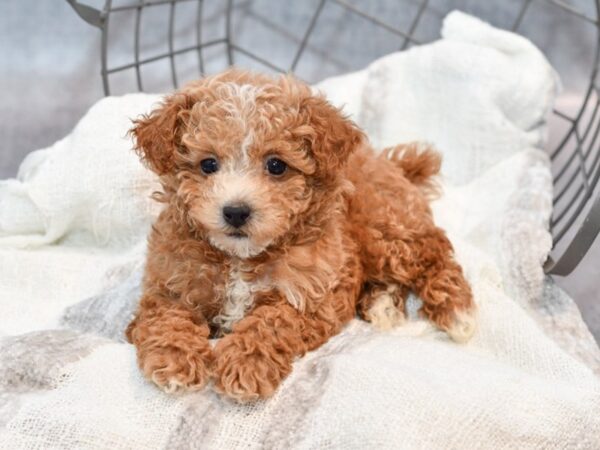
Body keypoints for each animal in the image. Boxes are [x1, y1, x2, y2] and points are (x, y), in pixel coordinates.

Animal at [124, 69, 476, 400]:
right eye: (208, 164)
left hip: (385, 232)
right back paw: (383, 305)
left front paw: (246, 364)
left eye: (276, 165)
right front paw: (174, 359)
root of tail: (388, 163)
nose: (236, 211)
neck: (240, 258)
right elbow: (166, 317)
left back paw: (458, 313)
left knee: (434, 252)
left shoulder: (314, 297)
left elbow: (274, 321)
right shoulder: (169, 284)